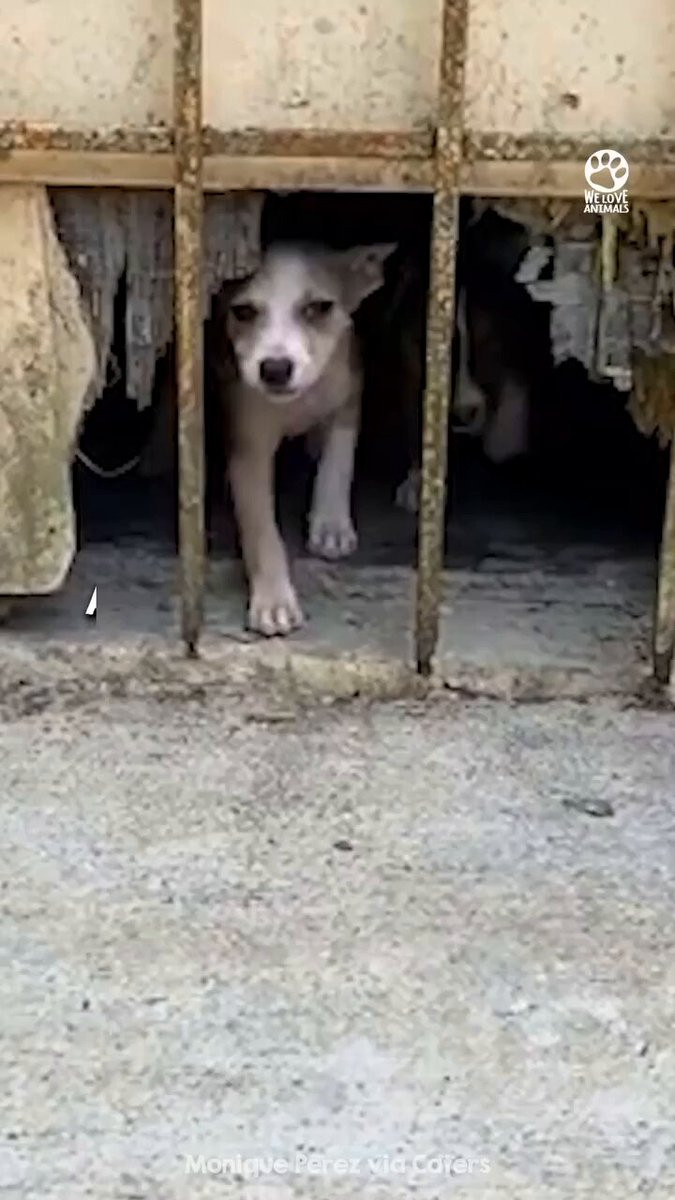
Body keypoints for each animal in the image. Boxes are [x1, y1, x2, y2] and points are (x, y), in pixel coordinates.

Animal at [224, 240, 395, 636]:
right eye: (242, 311)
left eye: (318, 308)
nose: (275, 369)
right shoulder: (250, 449)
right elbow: (262, 529)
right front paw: (273, 601)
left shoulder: (349, 394)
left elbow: (338, 462)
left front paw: (331, 525)